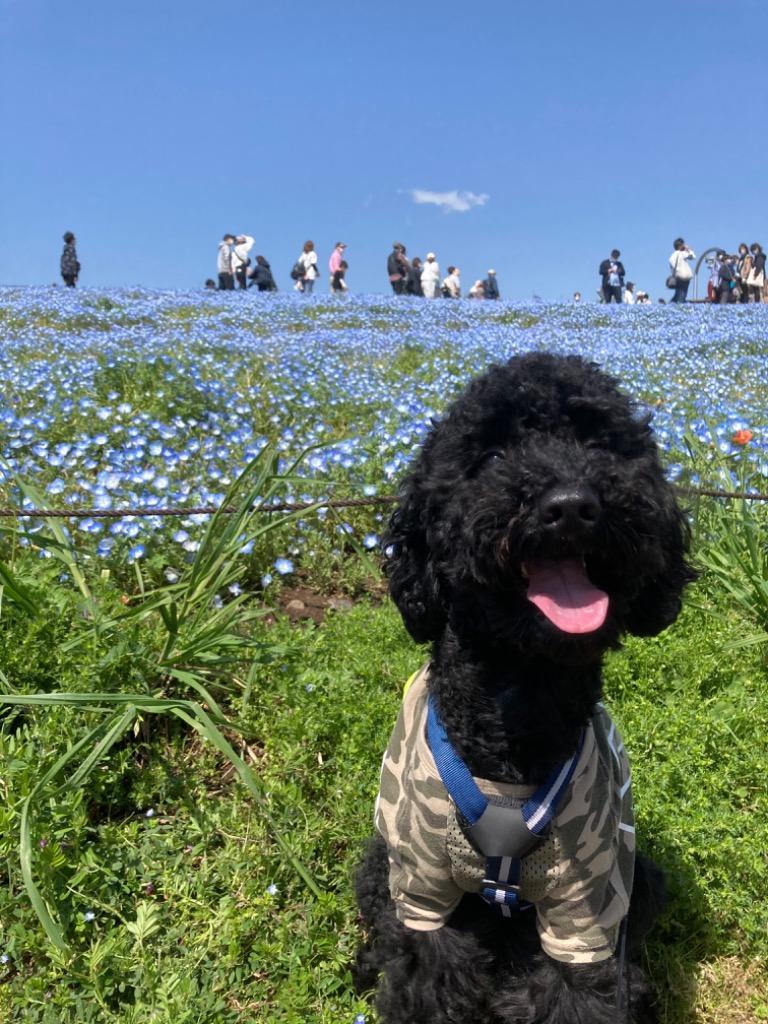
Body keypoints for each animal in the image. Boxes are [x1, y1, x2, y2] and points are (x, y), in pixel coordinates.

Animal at [354, 354, 696, 1024]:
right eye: (489, 457)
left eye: (599, 444)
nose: (570, 505)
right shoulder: (422, 888)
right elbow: (428, 974)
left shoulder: (586, 905)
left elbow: (576, 992)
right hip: (383, 861)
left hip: (639, 877)